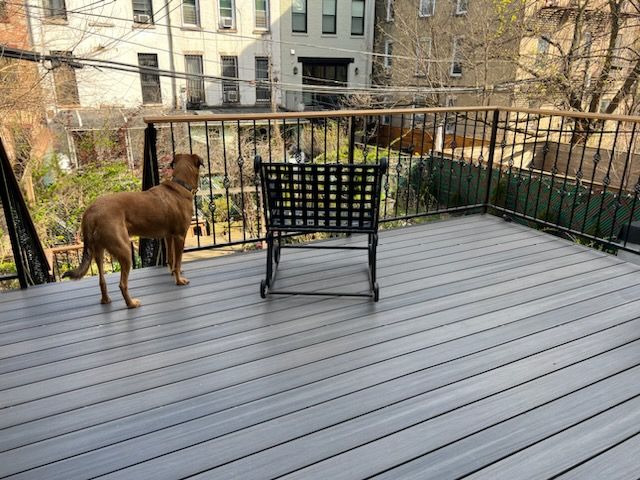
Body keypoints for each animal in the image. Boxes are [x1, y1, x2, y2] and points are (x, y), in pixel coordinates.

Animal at [63, 153, 203, 308]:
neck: (180, 185)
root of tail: (91, 212)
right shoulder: (179, 236)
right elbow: (177, 262)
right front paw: (179, 280)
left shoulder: (168, 237)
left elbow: (171, 259)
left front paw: (173, 273)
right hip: (124, 250)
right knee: (122, 284)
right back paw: (131, 304)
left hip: (98, 252)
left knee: (102, 281)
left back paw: (106, 300)